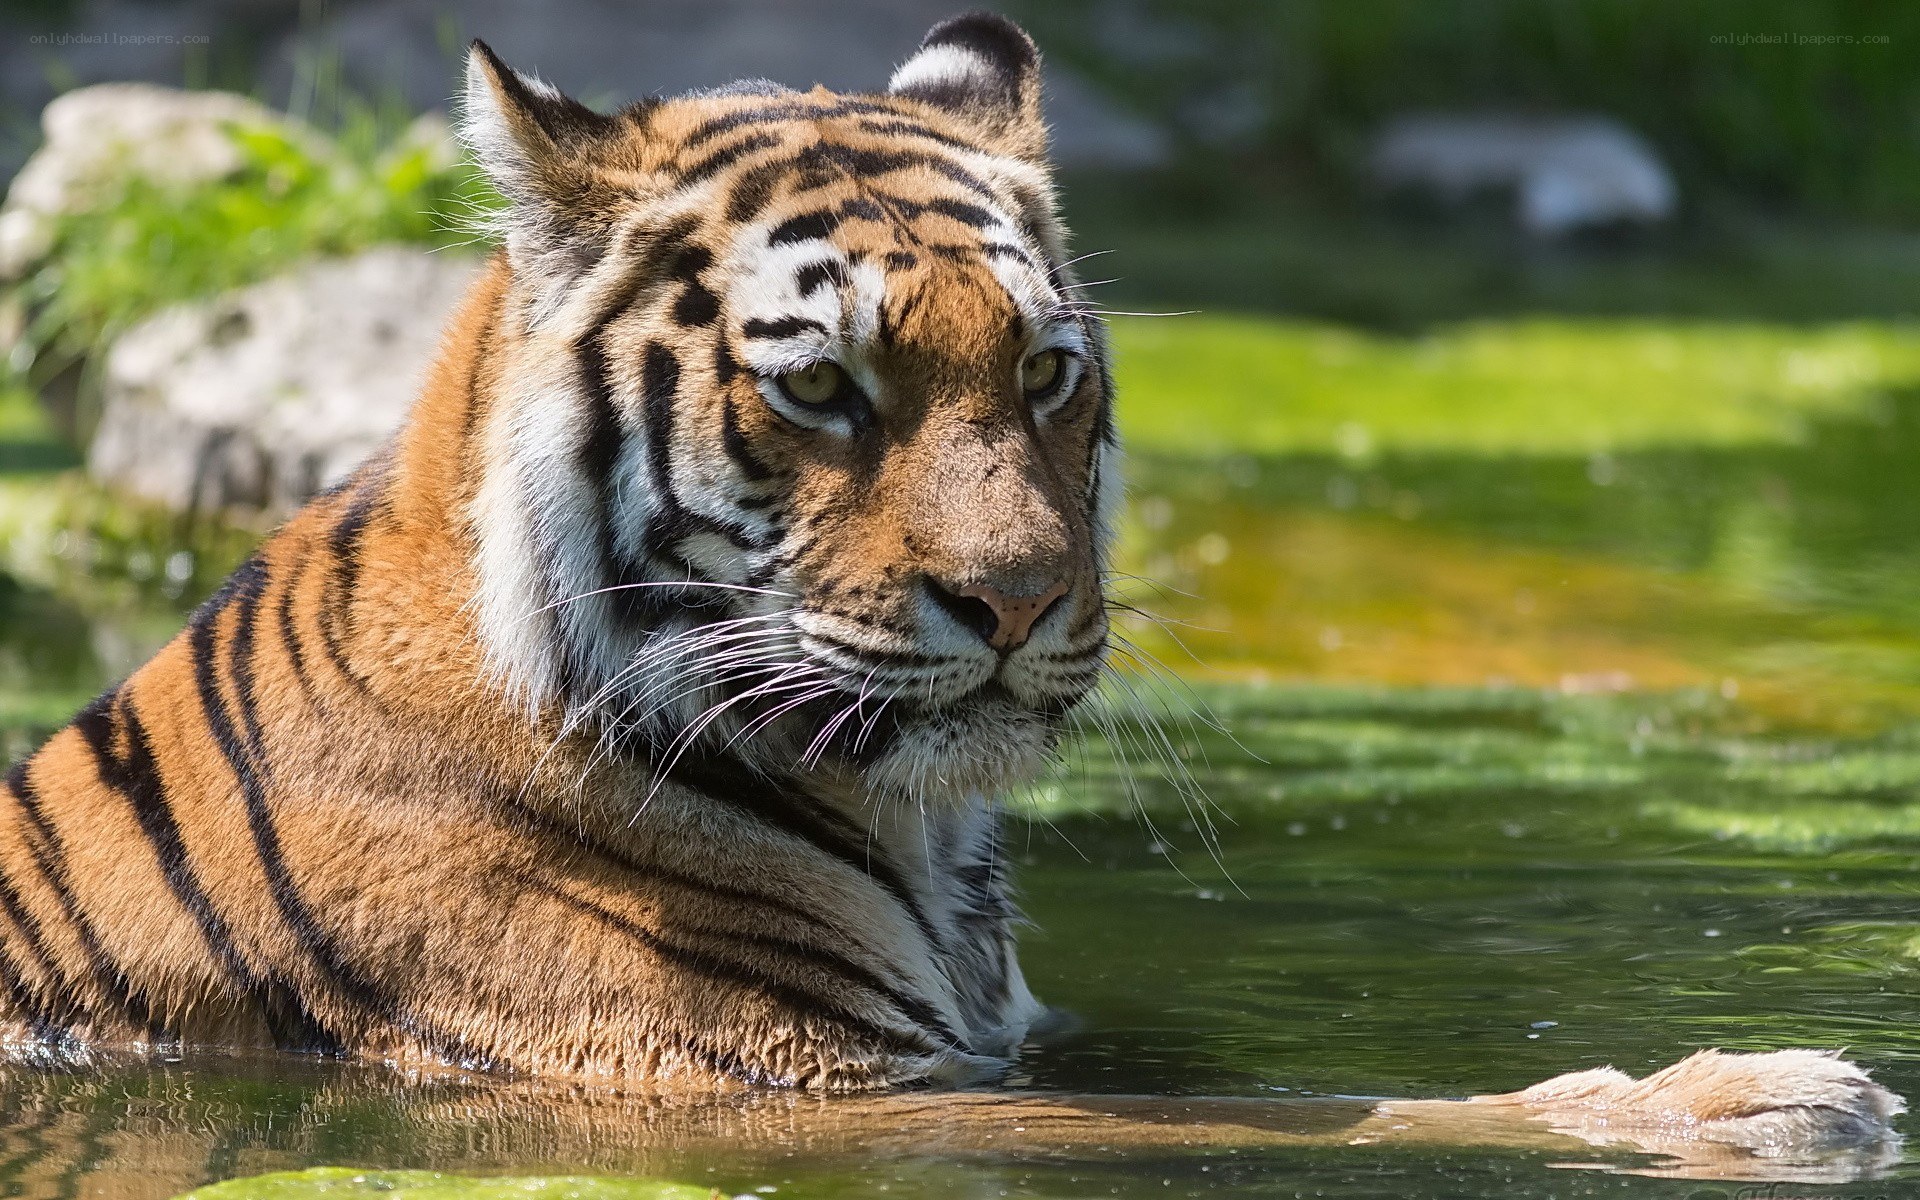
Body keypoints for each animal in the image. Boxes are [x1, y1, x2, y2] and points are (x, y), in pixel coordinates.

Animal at [0, 9, 1897, 1164]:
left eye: (1046, 374)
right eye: (823, 387)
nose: (1021, 603)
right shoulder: (799, 1089)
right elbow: (1337, 1116)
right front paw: (1771, 1096)